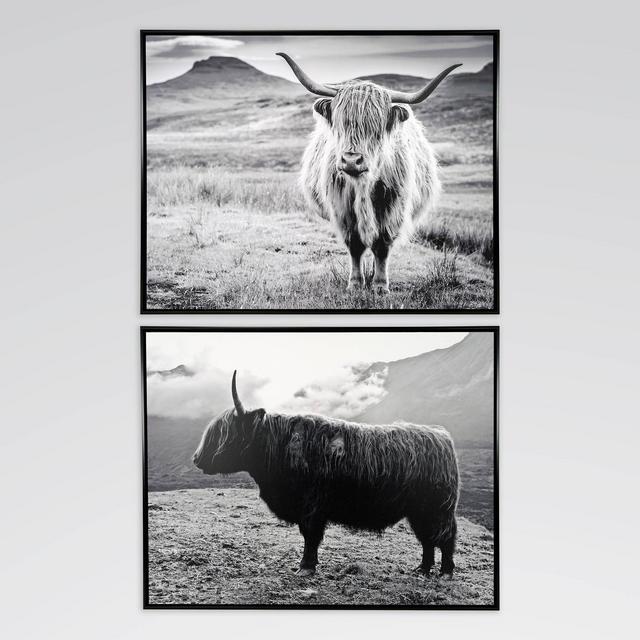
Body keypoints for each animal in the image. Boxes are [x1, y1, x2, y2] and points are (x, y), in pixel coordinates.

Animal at [193, 372, 460, 577]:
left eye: (224, 433)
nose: (196, 458)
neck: (279, 446)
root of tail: (442, 437)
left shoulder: (311, 507)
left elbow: (310, 537)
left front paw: (305, 567)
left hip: (437, 509)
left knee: (445, 537)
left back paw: (445, 572)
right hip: (418, 512)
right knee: (427, 540)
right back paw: (422, 569)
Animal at [277, 52, 461, 293]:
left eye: (376, 127)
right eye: (340, 124)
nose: (351, 160)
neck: (363, 185)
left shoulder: (392, 208)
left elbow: (382, 246)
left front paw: (380, 285)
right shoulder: (342, 208)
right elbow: (355, 245)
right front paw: (355, 283)